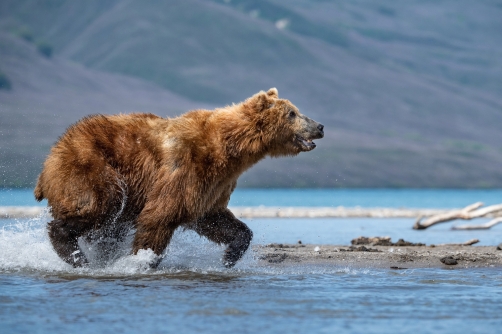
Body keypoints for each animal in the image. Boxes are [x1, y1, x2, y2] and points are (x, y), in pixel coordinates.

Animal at [35, 87, 326, 268]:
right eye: (292, 113)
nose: (320, 126)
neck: (229, 148)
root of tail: (50, 157)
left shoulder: (212, 186)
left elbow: (216, 219)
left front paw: (230, 256)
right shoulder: (185, 168)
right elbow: (160, 216)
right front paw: (141, 260)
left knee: (110, 227)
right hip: (92, 166)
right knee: (100, 205)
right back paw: (76, 256)